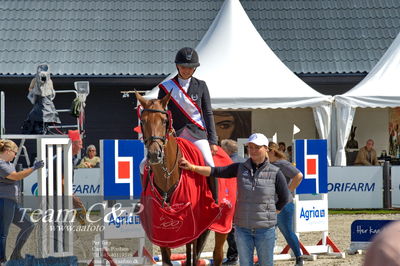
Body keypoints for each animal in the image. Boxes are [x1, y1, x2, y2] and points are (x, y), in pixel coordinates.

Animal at [136, 92, 227, 266]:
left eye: (164, 121)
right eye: (142, 121)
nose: (154, 154)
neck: (167, 178)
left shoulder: (194, 226)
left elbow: (193, 257)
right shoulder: (163, 231)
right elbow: (168, 260)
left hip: (223, 225)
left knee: (217, 254)